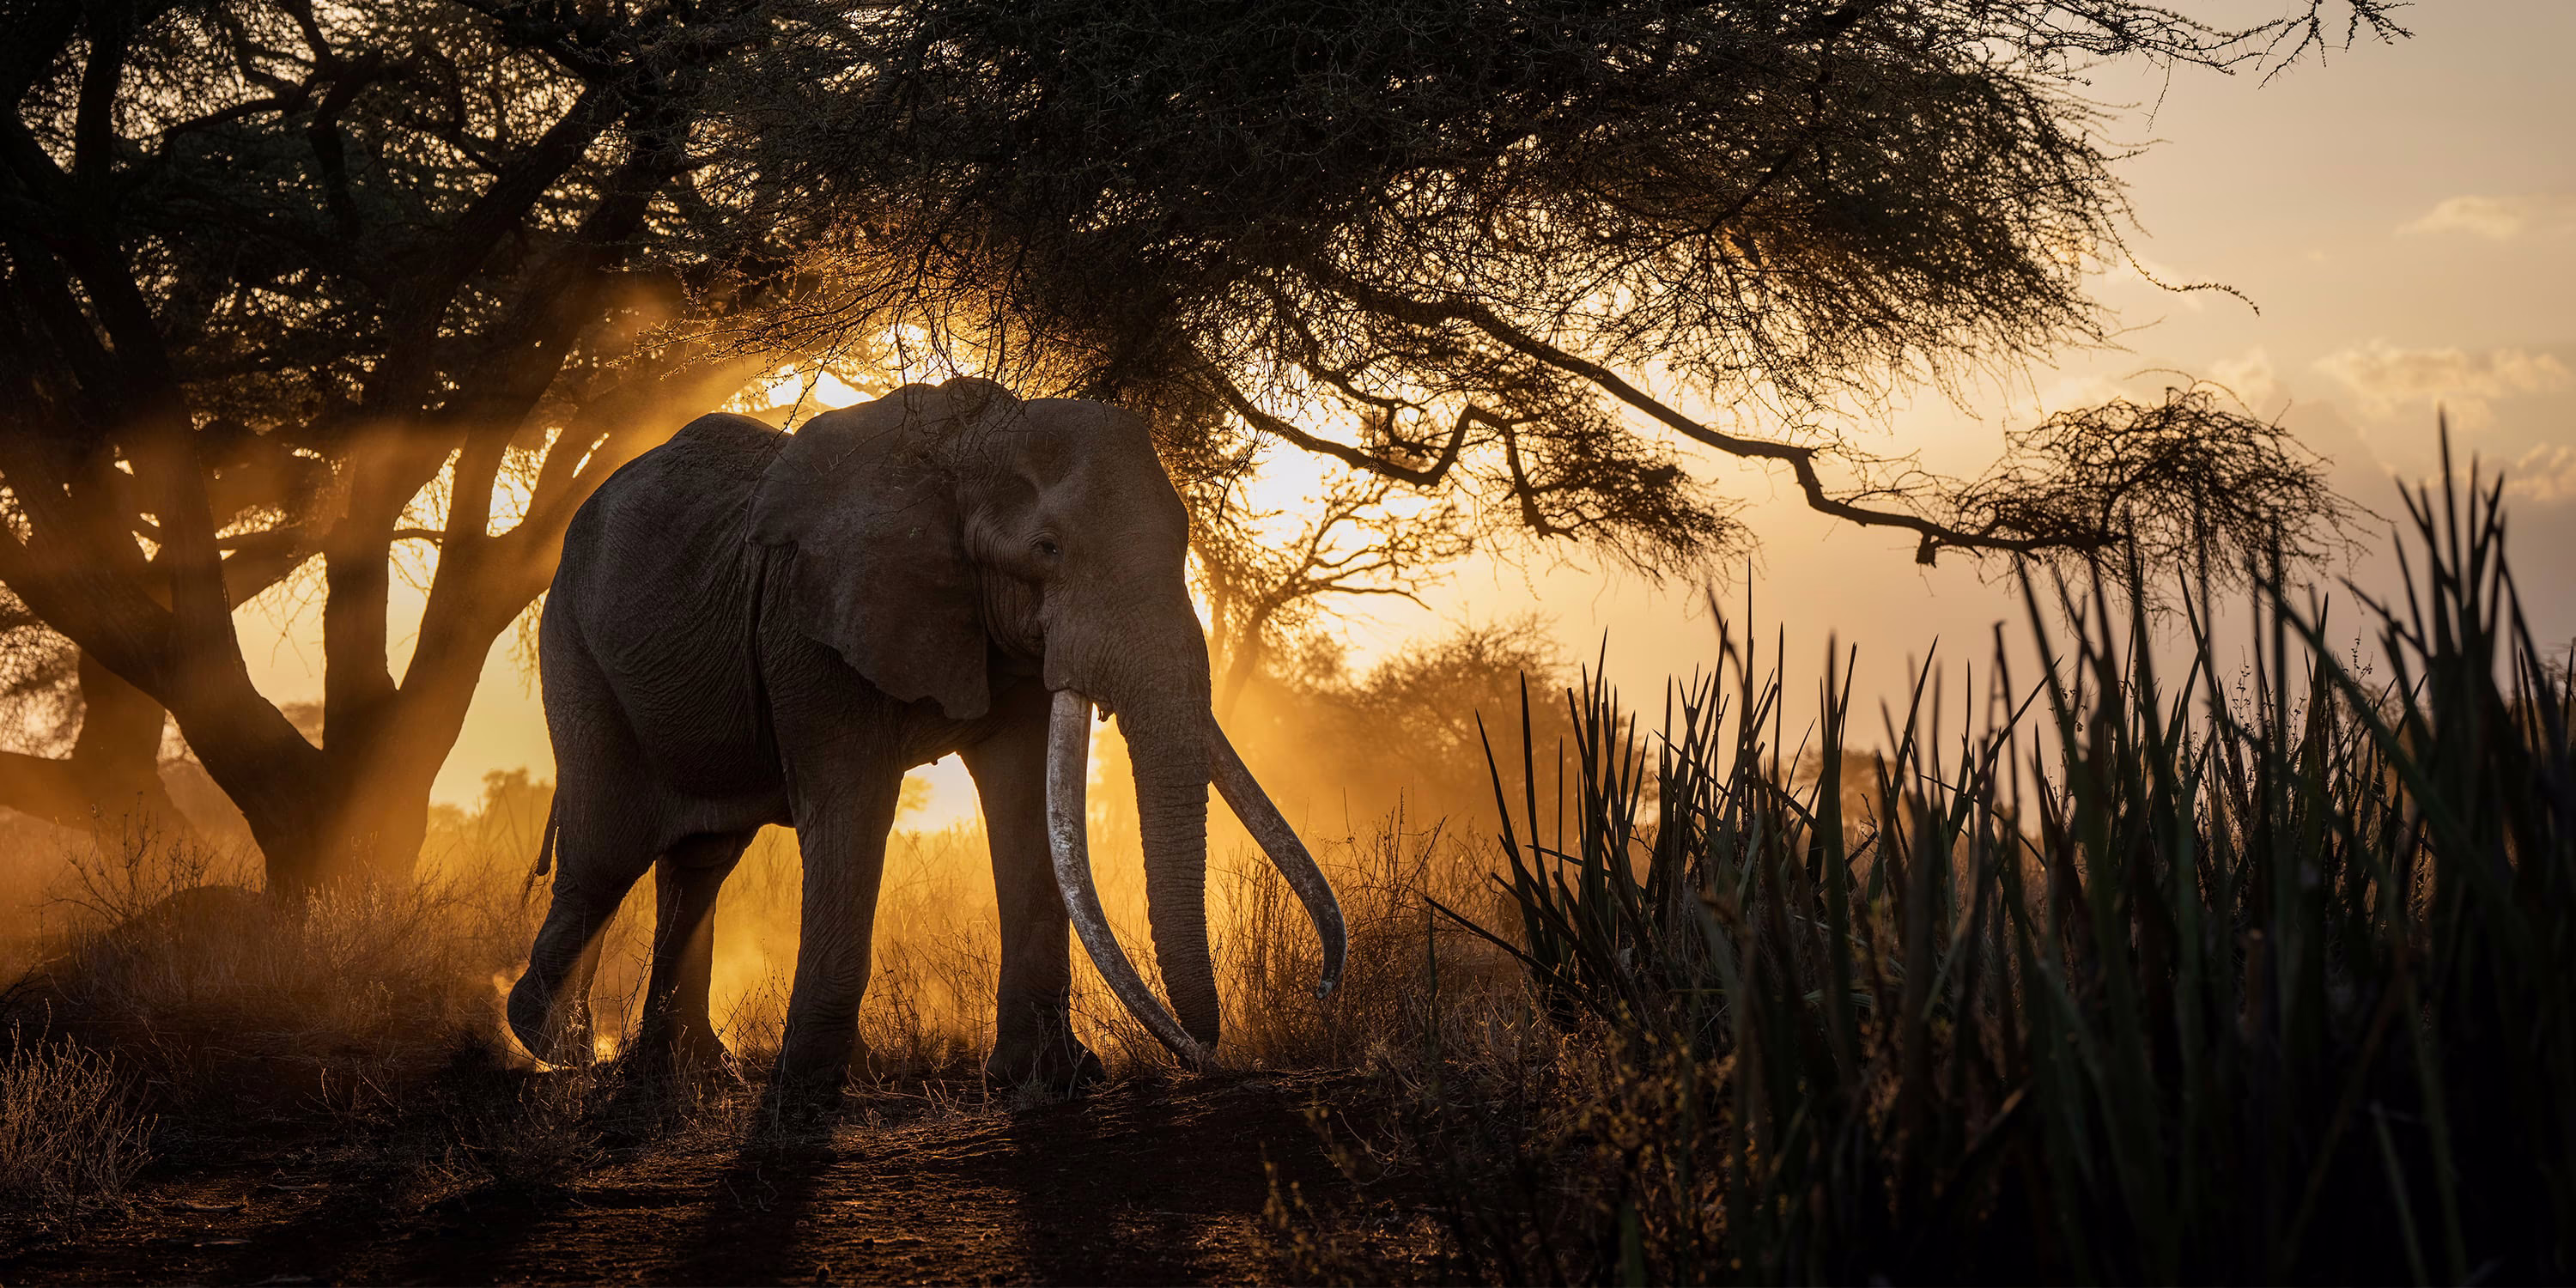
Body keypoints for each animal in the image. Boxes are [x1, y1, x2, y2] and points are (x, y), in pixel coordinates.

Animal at [506, 378, 1345, 1093]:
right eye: (1047, 550)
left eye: (1184, 541)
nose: (1321, 986)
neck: (964, 453)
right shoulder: (810, 625)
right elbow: (852, 811)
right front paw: (812, 1089)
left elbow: (1023, 807)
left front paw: (1053, 1078)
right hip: (576, 650)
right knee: (607, 852)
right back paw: (562, 1047)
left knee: (700, 859)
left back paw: (686, 1070)